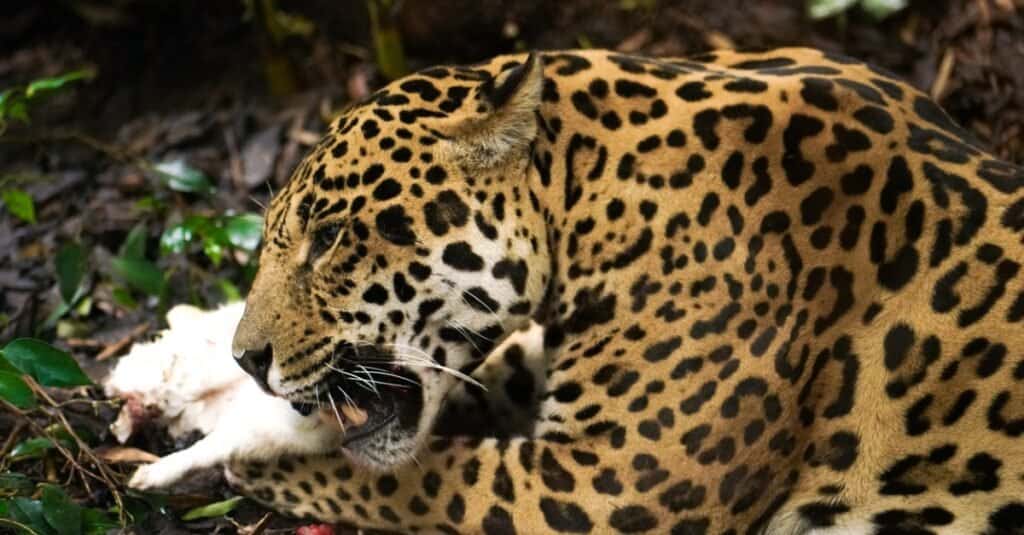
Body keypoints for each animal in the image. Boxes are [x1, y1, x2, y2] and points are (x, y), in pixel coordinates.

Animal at [223, 48, 1024, 534]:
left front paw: (257, 459)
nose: (245, 359)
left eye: (329, 236)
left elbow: (421, 481)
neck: (589, 191)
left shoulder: (604, 488)